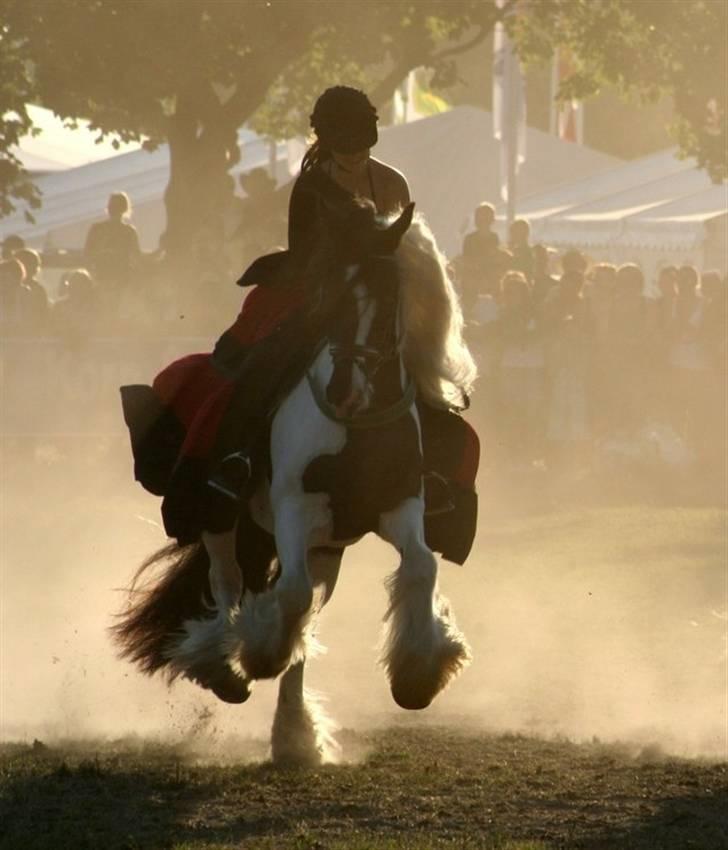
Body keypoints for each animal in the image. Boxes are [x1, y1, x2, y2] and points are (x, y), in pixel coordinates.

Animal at [112, 195, 478, 764]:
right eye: (330, 292)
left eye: (389, 296)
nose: (345, 390)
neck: (356, 427)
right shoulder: (294, 506)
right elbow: (288, 594)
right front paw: (258, 653)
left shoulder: (401, 506)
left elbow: (419, 566)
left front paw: (418, 674)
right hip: (223, 516)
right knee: (230, 580)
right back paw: (224, 668)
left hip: (327, 546)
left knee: (306, 614)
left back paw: (293, 737)